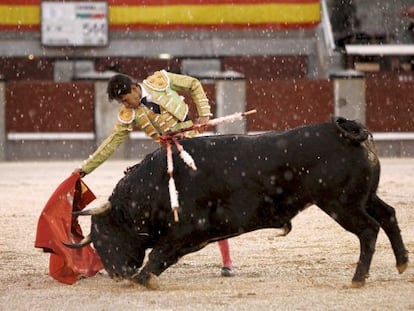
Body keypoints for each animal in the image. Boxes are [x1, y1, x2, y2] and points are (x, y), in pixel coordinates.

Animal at [81, 118, 410, 288]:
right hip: (363, 197)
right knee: (388, 215)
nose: (115, 273)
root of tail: (345, 129)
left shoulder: (185, 229)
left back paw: (358, 278)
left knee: (368, 230)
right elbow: (163, 255)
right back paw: (402, 263)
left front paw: (141, 279)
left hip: (341, 204)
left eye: (103, 235)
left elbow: (159, 254)